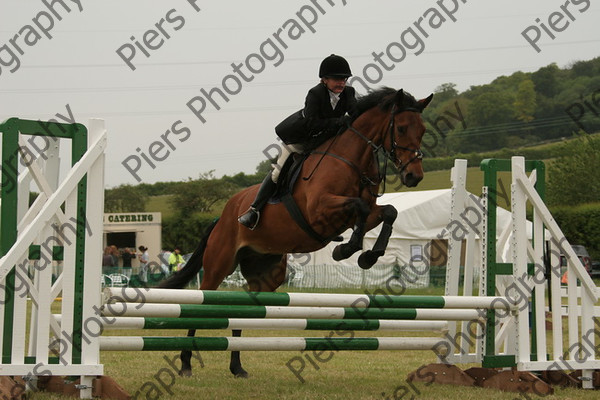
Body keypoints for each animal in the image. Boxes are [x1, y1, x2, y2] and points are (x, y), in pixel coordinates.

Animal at [157, 86, 434, 378]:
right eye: (401, 128)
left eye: (423, 130)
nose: (414, 176)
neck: (352, 160)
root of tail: (223, 216)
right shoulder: (320, 210)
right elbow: (358, 208)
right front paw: (345, 250)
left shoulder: (366, 214)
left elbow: (389, 211)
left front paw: (369, 256)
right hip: (218, 264)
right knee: (202, 303)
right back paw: (185, 363)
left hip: (267, 274)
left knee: (243, 308)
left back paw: (237, 367)